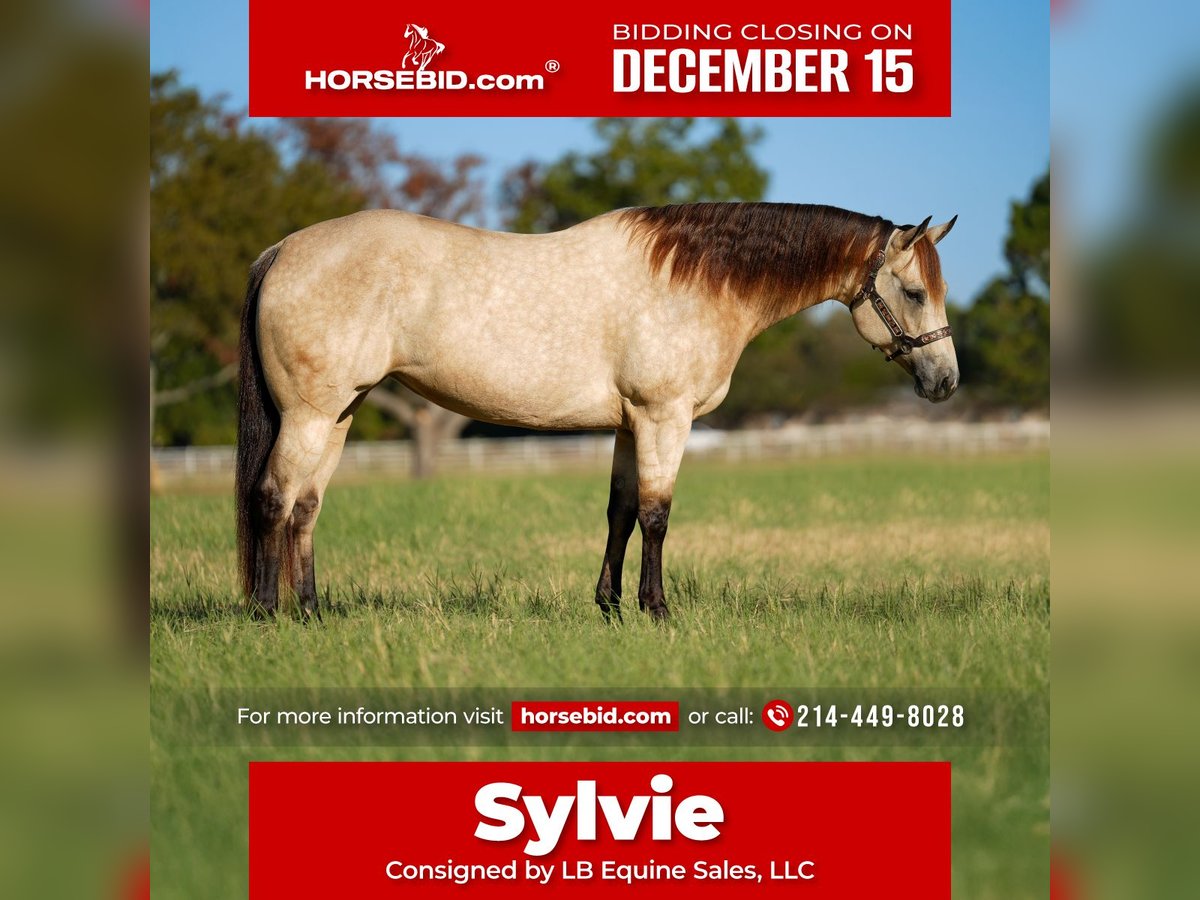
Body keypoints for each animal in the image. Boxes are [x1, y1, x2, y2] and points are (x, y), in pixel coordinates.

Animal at [235, 203, 958, 622]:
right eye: (914, 292)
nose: (947, 381)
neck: (693, 280)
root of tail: (282, 250)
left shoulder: (628, 425)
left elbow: (620, 512)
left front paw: (609, 608)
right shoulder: (664, 418)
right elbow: (657, 515)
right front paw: (658, 611)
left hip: (339, 415)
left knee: (306, 506)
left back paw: (312, 612)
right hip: (309, 415)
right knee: (272, 497)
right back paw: (267, 614)